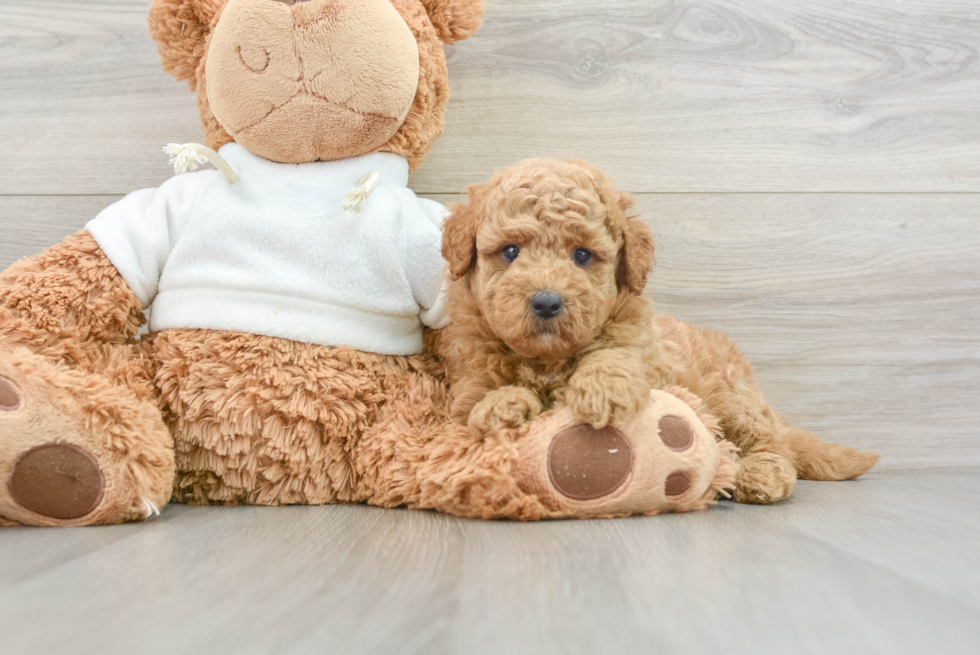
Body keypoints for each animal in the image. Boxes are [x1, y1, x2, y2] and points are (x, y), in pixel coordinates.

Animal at [438, 156, 880, 504]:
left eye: (582, 255)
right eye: (510, 251)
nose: (547, 302)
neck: (548, 359)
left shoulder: (647, 354)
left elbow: (614, 354)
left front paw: (601, 390)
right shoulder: (467, 384)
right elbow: (478, 404)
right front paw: (501, 406)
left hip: (731, 397)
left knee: (772, 441)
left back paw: (761, 475)